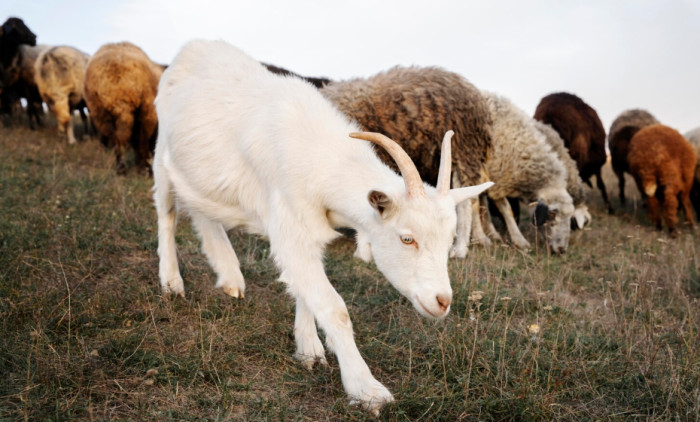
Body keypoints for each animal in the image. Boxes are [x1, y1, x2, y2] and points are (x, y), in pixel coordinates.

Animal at [84, 42, 164, 174]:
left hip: (101, 114)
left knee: (117, 138)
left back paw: (121, 167)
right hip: (145, 110)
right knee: (139, 140)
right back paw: (142, 167)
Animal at [481, 91, 575, 253]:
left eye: (570, 216)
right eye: (551, 214)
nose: (562, 250)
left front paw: (491, 233)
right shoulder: (495, 177)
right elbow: (505, 209)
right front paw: (519, 240)